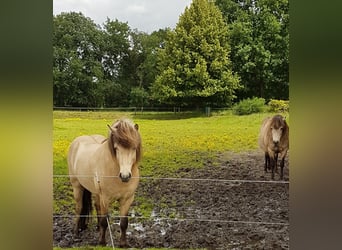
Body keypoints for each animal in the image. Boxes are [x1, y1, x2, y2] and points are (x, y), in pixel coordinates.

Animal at [67, 118, 142, 247]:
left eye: (134, 148)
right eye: (116, 148)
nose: (125, 176)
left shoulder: (127, 199)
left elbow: (124, 222)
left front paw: (123, 243)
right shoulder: (105, 198)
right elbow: (104, 221)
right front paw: (102, 242)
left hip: (96, 193)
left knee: (96, 207)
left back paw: (97, 228)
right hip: (77, 186)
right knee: (79, 208)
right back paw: (76, 232)